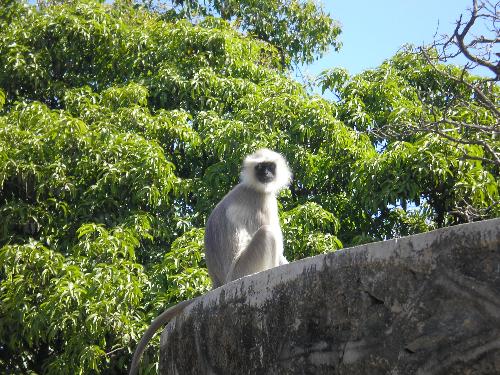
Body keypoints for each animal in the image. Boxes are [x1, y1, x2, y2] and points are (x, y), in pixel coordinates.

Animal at [129, 148, 292, 374]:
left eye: (270, 166)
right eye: (260, 167)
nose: (266, 174)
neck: (252, 186)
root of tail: (219, 283)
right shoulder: (263, 201)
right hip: (243, 270)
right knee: (267, 233)